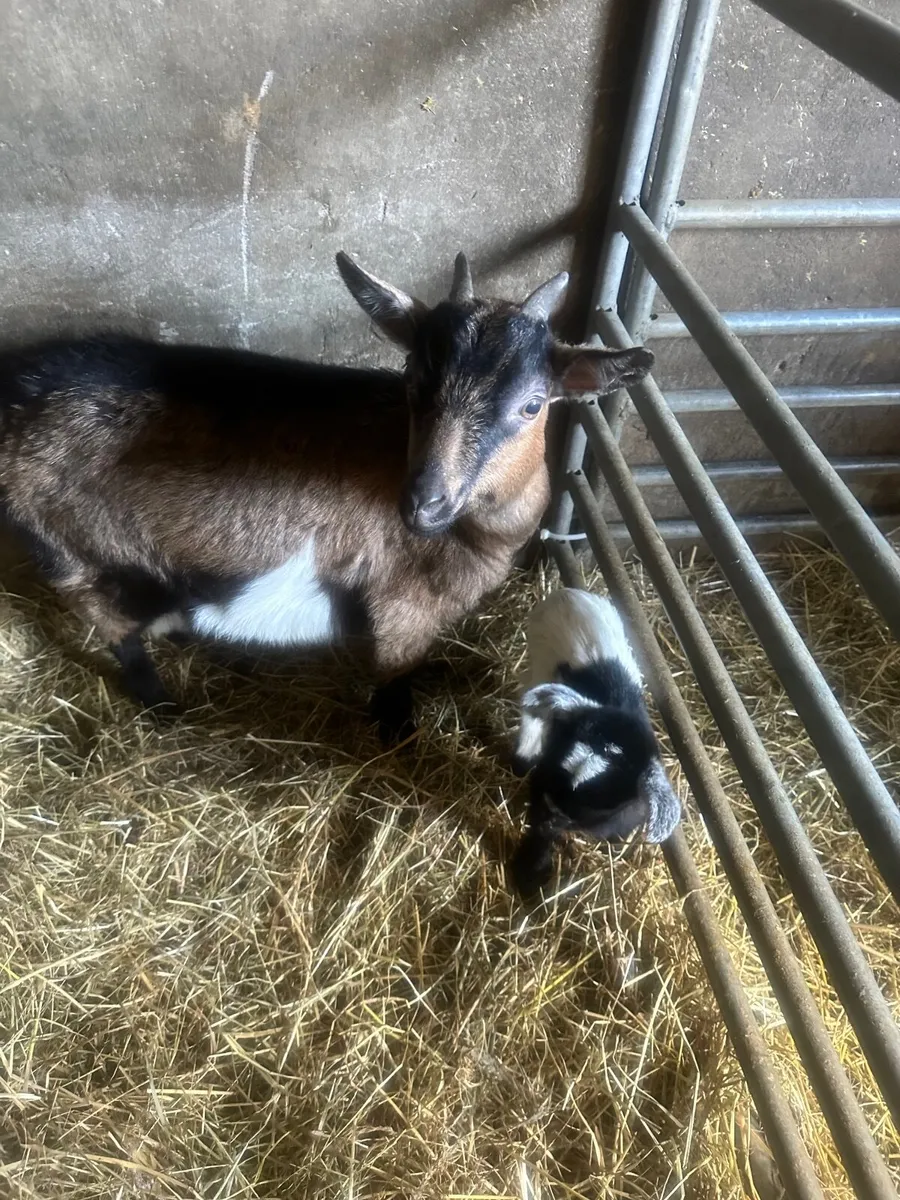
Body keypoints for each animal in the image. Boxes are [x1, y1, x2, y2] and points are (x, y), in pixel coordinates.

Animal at [0, 253, 653, 740]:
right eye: (413, 378)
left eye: (532, 405)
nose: (423, 503)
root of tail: (17, 392)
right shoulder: (402, 608)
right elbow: (394, 681)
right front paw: (398, 736)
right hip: (75, 553)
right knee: (114, 626)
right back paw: (162, 702)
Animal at [509, 587, 681, 895]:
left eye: (597, 805)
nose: (549, 812)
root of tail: (568, 593)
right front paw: (530, 875)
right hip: (538, 658)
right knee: (529, 696)